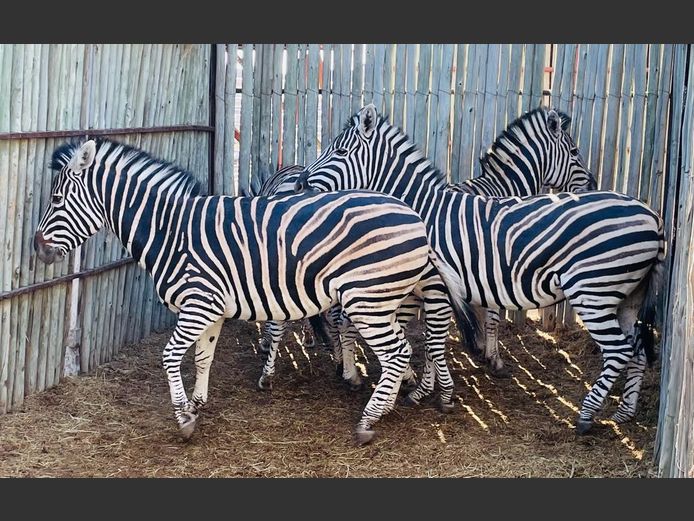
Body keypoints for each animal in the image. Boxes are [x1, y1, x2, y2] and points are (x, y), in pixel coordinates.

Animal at [33, 138, 478, 444]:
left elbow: (171, 356)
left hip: (366, 298)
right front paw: (197, 403)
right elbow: (204, 356)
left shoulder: (197, 303)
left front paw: (184, 420)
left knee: (397, 353)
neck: (171, 231)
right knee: (403, 349)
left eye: (55, 199)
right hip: (383, 299)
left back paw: (369, 421)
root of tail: (415, 217)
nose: (37, 249)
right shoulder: (210, 307)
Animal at [295, 104, 666, 433]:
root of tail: (653, 216)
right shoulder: (435, 287)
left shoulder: (438, 286)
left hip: (595, 292)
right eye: (574, 151)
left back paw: (588, 415)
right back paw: (623, 413)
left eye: (340, 150)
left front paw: (435, 390)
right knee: (634, 349)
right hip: (625, 296)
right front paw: (429, 385)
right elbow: (434, 338)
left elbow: (437, 339)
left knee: (620, 350)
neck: (424, 211)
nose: (300, 183)